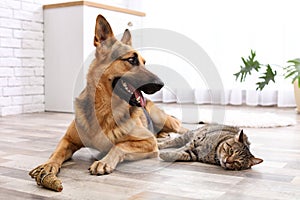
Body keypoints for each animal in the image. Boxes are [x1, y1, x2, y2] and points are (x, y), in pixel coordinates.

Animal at [28, 14, 188, 191]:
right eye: (131, 60)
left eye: (144, 63)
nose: (161, 84)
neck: (104, 109)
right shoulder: (68, 140)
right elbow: (56, 153)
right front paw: (48, 165)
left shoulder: (148, 142)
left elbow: (119, 145)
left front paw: (104, 161)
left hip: (162, 118)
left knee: (182, 128)